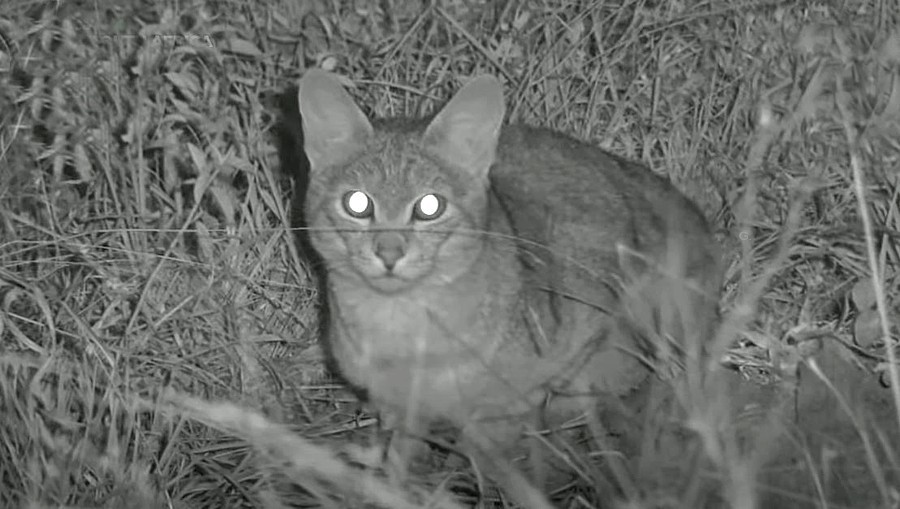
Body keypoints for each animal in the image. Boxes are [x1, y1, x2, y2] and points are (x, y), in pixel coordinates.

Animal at [296, 66, 724, 484]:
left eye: (430, 206)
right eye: (357, 203)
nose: (389, 253)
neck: (400, 337)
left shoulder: (582, 326)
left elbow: (494, 444)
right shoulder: (394, 402)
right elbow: (402, 449)